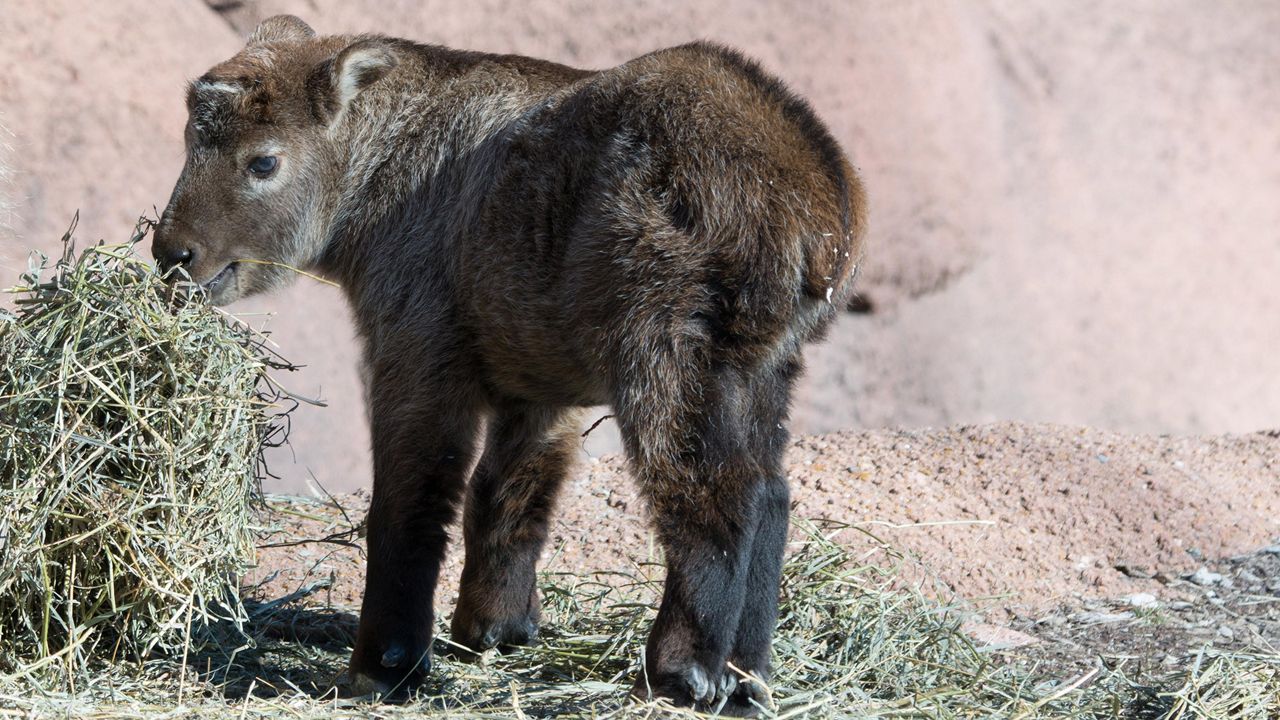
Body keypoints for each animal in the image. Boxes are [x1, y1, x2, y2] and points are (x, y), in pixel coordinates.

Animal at [154, 15, 865, 712]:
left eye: (263, 161)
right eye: (189, 142)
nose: (172, 253)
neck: (385, 157)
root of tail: (817, 213)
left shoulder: (417, 346)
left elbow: (413, 499)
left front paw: (386, 666)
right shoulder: (538, 379)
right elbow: (510, 493)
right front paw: (493, 629)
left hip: (667, 350)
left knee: (712, 494)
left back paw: (682, 672)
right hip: (761, 370)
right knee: (771, 495)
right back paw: (748, 680)